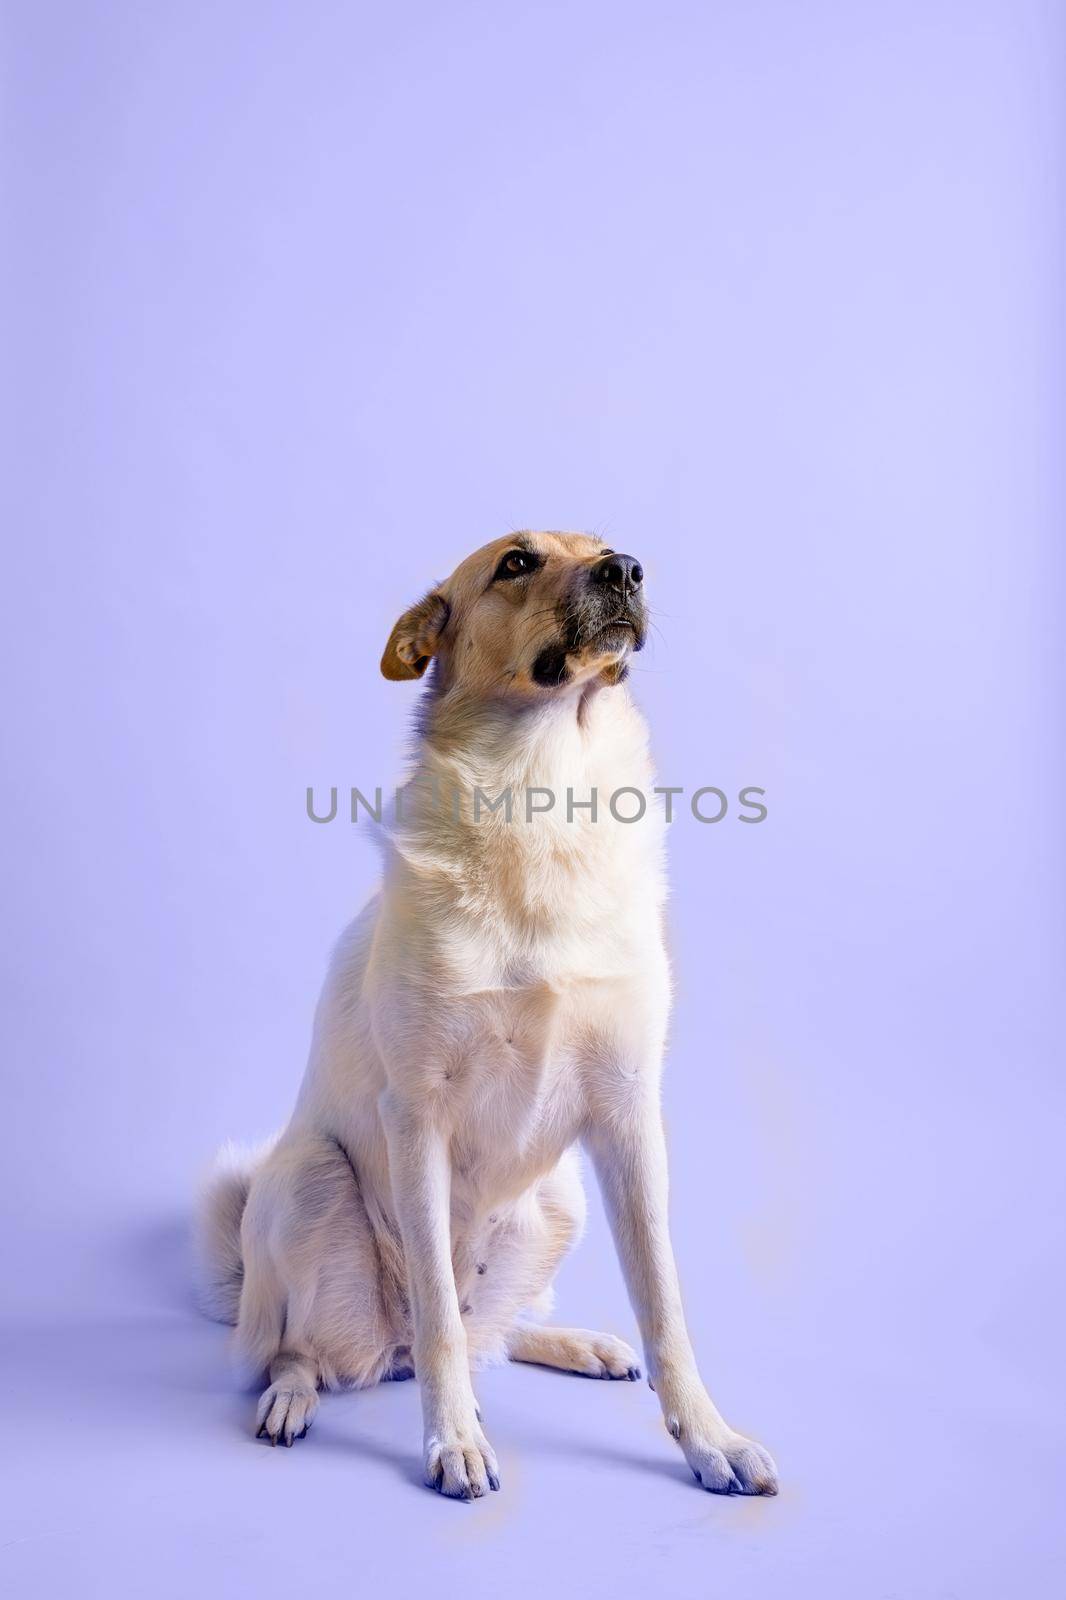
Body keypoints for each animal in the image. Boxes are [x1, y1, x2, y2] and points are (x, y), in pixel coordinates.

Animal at [195, 534, 777, 1497]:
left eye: (601, 545)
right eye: (515, 562)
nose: (628, 568)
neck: (543, 795)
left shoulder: (630, 1114)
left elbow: (664, 1308)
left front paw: (710, 1439)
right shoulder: (417, 1116)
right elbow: (437, 1313)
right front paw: (454, 1441)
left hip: (563, 1194)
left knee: (492, 1334)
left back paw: (579, 1343)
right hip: (312, 1178)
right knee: (316, 1346)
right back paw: (290, 1397)